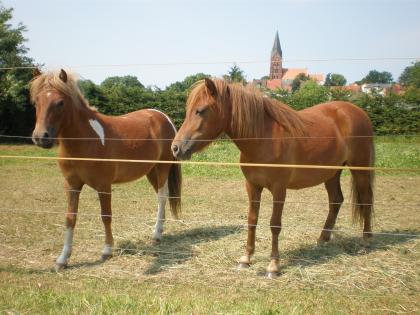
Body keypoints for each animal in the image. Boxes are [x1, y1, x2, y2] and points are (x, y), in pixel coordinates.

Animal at [29, 69, 180, 272]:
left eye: (60, 102)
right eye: (36, 101)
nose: (40, 137)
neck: (86, 140)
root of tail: (163, 116)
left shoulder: (104, 186)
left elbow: (106, 216)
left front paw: (107, 250)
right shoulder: (71, 185)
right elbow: (70, 218)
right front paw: (62, 259)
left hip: (162, 167)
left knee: (162, 197)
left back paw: (156, 234)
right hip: (151, 171)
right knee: (160, 196)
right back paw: (158, 233)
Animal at [172, 79, 376, 278]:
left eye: (200, 110)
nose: (176, 148)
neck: (262, 138)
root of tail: (358, 112)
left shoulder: (279, 189)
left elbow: (274, 224)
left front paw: (273, 266)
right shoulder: (252, 186)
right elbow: (252, 219)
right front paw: (246, 259)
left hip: (360, 169)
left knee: (365, 200)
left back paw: (366, 241)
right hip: (332, 173)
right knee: (335, 200)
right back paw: (322, 239)